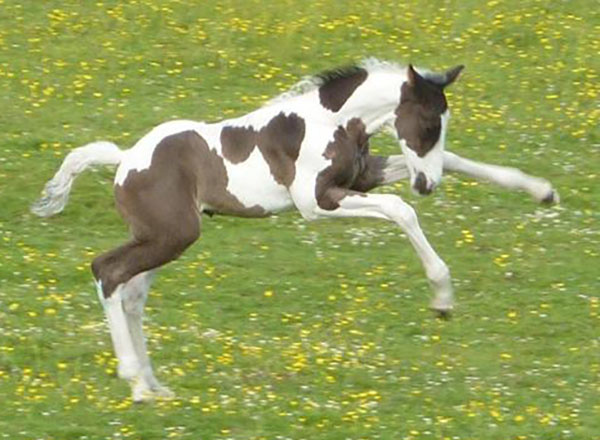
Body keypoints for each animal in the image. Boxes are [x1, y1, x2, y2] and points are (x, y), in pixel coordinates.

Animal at [31, 59, 556, 402]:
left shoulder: (360, 178)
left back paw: (155, 383)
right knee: (107, 272)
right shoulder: (316, 203)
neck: (331, 122)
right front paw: (442, 297)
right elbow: (399, 210)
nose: (428, 185)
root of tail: (125, 160)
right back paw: (136, 382)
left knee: (132, 295)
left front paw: (542, 191)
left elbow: (457, 164)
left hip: (162, 239)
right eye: (426, 123)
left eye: (442, 125)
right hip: (170, 236)